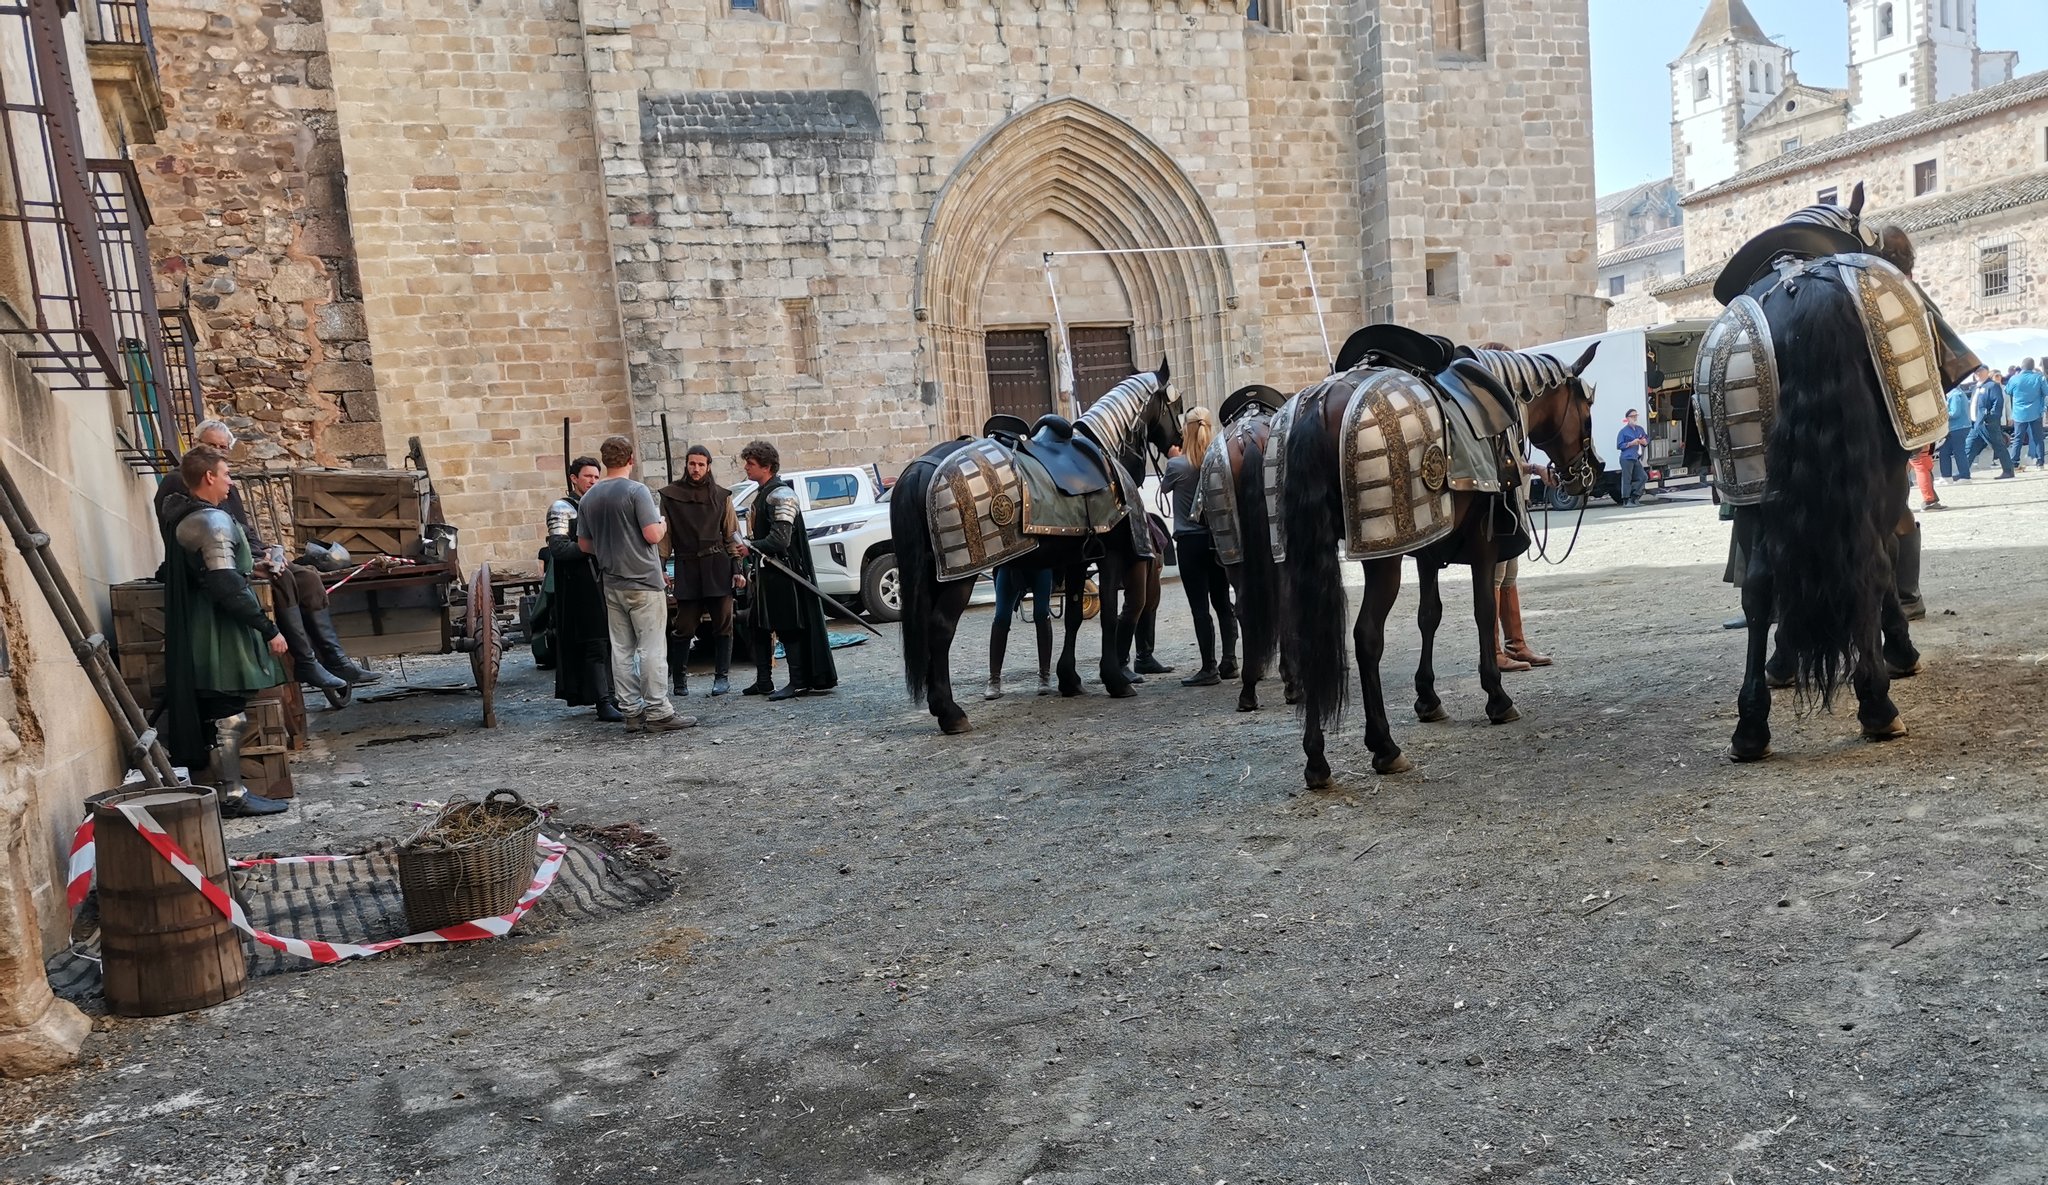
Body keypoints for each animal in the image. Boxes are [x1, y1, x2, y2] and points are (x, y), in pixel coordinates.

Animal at [897, 364, 1187, 732]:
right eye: (1176, 404)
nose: (1180, 440)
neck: (1102, 445)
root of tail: (923, 466)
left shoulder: (1079, 560)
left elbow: (1074, 616)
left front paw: (1069, 679)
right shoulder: (1110, 556)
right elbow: (1109, 614)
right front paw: (1115, 679)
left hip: (935, 575)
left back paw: (939, 706)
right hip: (960, 574)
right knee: (940, 628)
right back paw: (950, 712)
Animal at [1269, 343, 1605, 790]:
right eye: (1587, 414)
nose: (1590, 472)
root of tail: (1320, 402)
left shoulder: (1427, 545)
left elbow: (1429, 615)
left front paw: (1427, 698)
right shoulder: (1484, 544)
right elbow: (1484, 611)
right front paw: (1497, 697)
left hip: (1303, 555)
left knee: (1310, 639)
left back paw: (1316, 760)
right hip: (1383, 558)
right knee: (1366, 637)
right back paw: (1384, 746)